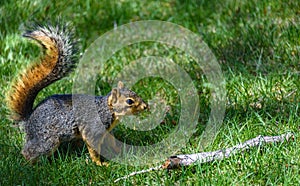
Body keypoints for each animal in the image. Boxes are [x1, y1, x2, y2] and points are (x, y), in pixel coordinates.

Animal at [5, 23, 148, 166]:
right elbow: (93, 147)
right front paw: (99, 163)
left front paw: (120, 151)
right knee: (30, 151)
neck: (108, 110)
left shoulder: (108, 131)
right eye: (129, 101)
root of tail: (28, 119)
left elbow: (112, 142)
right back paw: (31, 164)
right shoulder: (94, 128)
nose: (146, 106)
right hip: (47, 140)